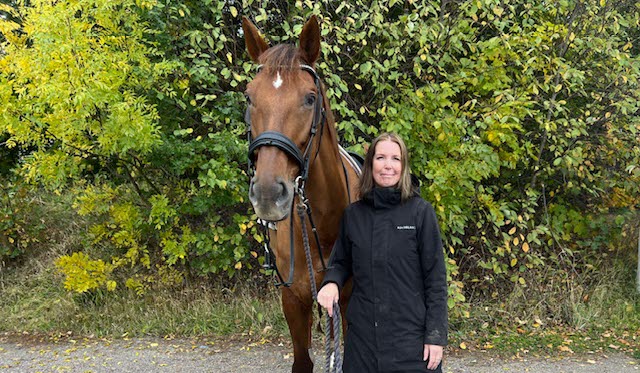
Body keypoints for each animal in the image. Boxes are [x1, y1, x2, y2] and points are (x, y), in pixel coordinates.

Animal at [242, 15, 360, 372]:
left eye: (309, 98)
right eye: (249, 97)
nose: (268, 193)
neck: (320, 223)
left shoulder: (347, 302)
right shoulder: (293, 299)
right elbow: (302, 360)